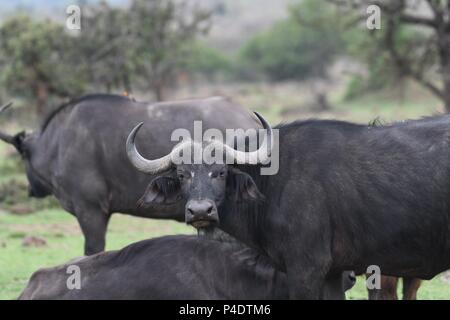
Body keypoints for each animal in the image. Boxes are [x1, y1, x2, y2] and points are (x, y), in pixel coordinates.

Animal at [125, 114, 450, 298]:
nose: (201, 211)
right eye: (182, 174)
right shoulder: (332, 274)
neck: (272, 182)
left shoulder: (306, 269)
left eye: (221, 172)